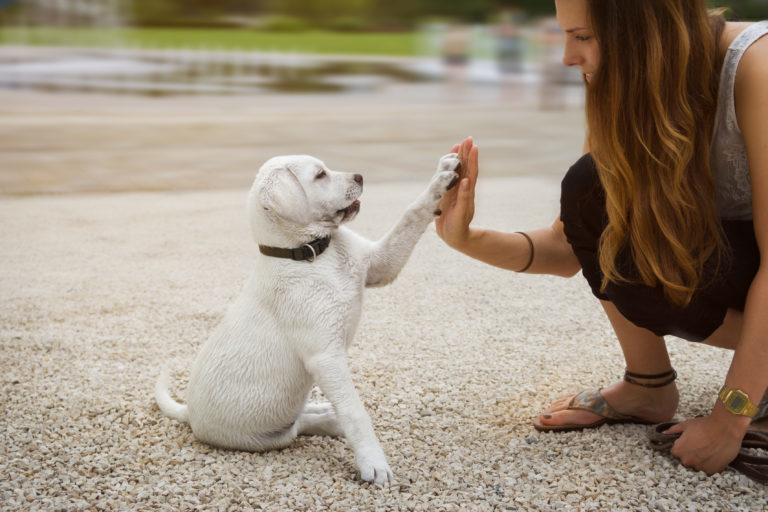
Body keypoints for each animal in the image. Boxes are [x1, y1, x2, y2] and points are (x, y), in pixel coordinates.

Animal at [153, 152, 460, 484]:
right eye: (320, 175)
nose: (360, 176)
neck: (312, 254)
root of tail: (189, 413)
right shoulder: (326, 356)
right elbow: (354, 411)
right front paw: (373, 462)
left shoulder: (381, 265)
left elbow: (411, 214)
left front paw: (442, 177)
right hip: (270, 436)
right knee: (300, 425)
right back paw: (331, 421)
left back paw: (327, 413)